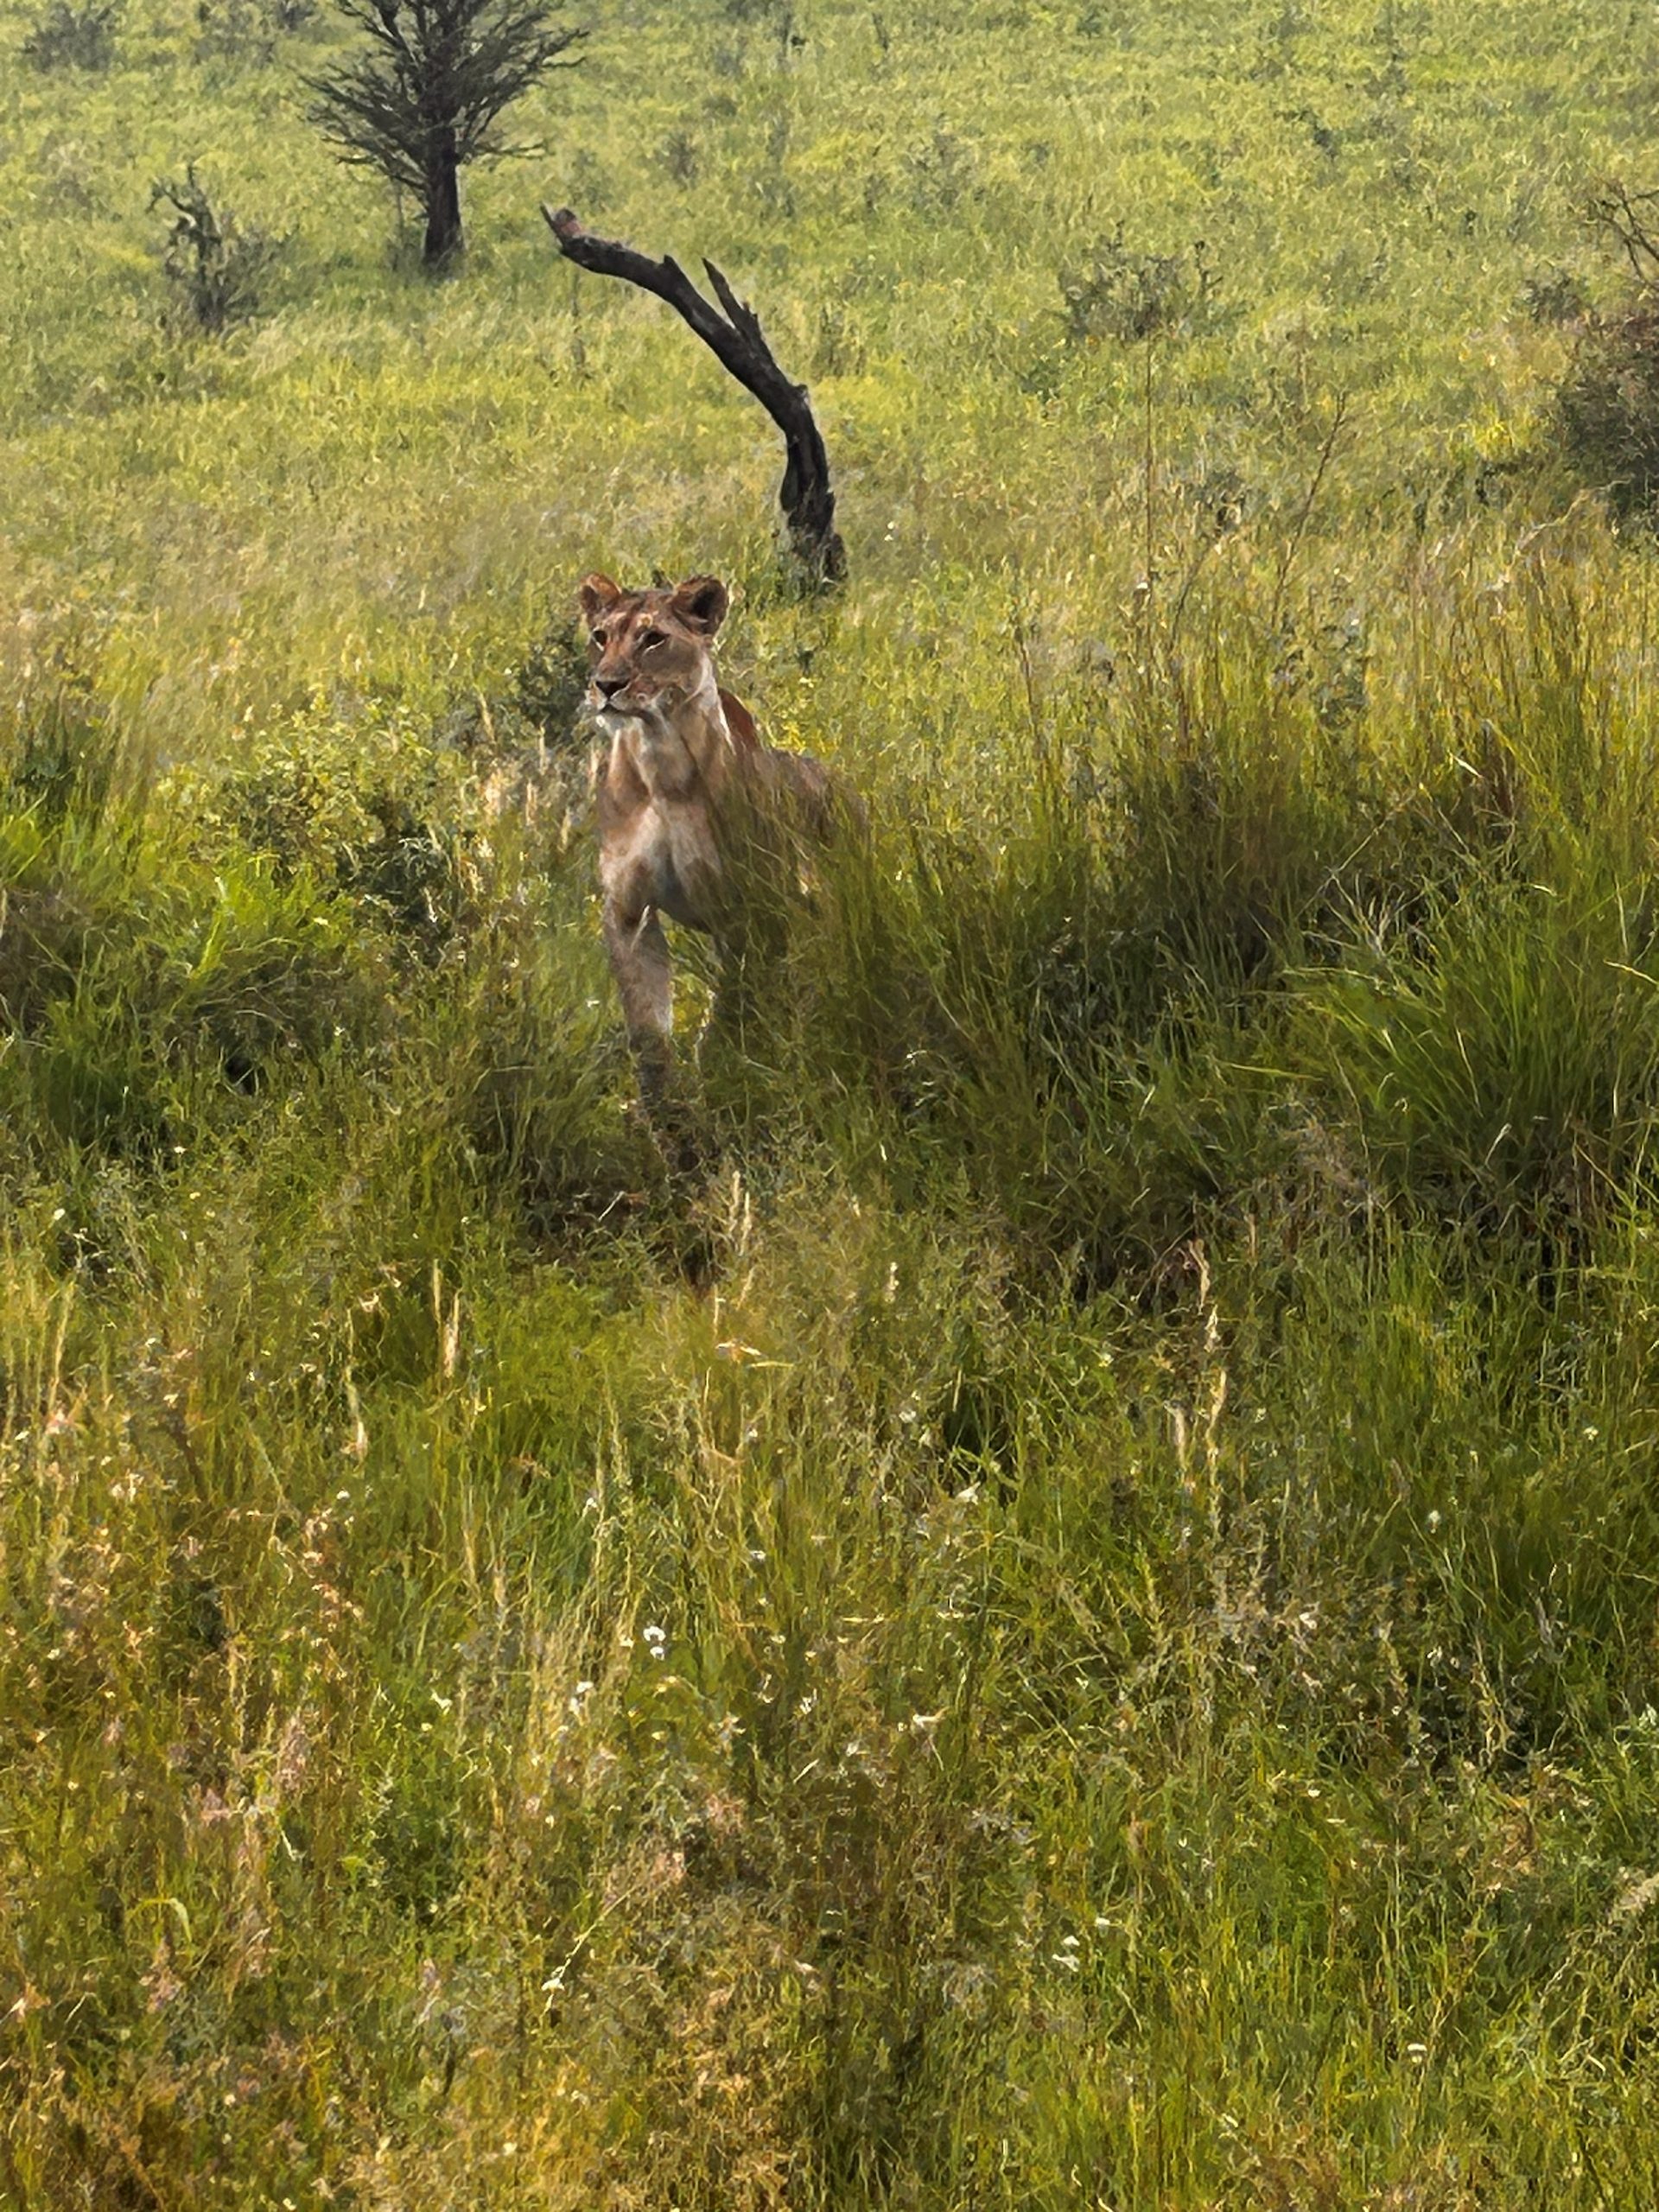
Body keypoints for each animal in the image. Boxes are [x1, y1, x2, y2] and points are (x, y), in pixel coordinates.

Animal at [579, 570, 854, 1115]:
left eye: (653, 639)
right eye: (601, 636)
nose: (607, 686)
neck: (660, 767)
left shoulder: (750, 907)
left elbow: (732, 1006)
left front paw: (725, 1076)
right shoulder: (628, 910)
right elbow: (647, 1028)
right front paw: (664, 1113)